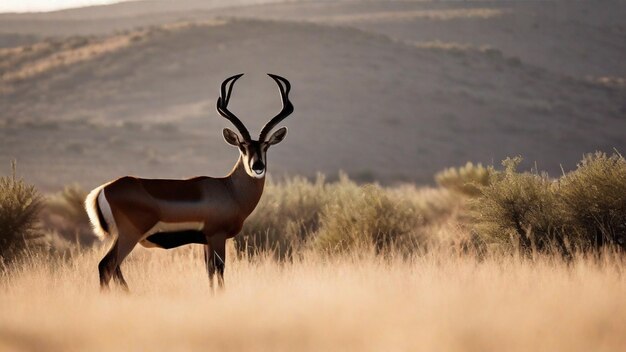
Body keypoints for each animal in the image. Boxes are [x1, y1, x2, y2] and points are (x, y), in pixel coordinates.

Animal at [84, 73, 294, 290]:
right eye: (242, 146)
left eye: (266, 146)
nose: (257, 167)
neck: (229, 189)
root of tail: (102, 190)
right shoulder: (217, 236)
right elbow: (219, 270)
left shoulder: (206, 241)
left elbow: (209, 272)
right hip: (129, 236)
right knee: (106, 266)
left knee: (114, 269)